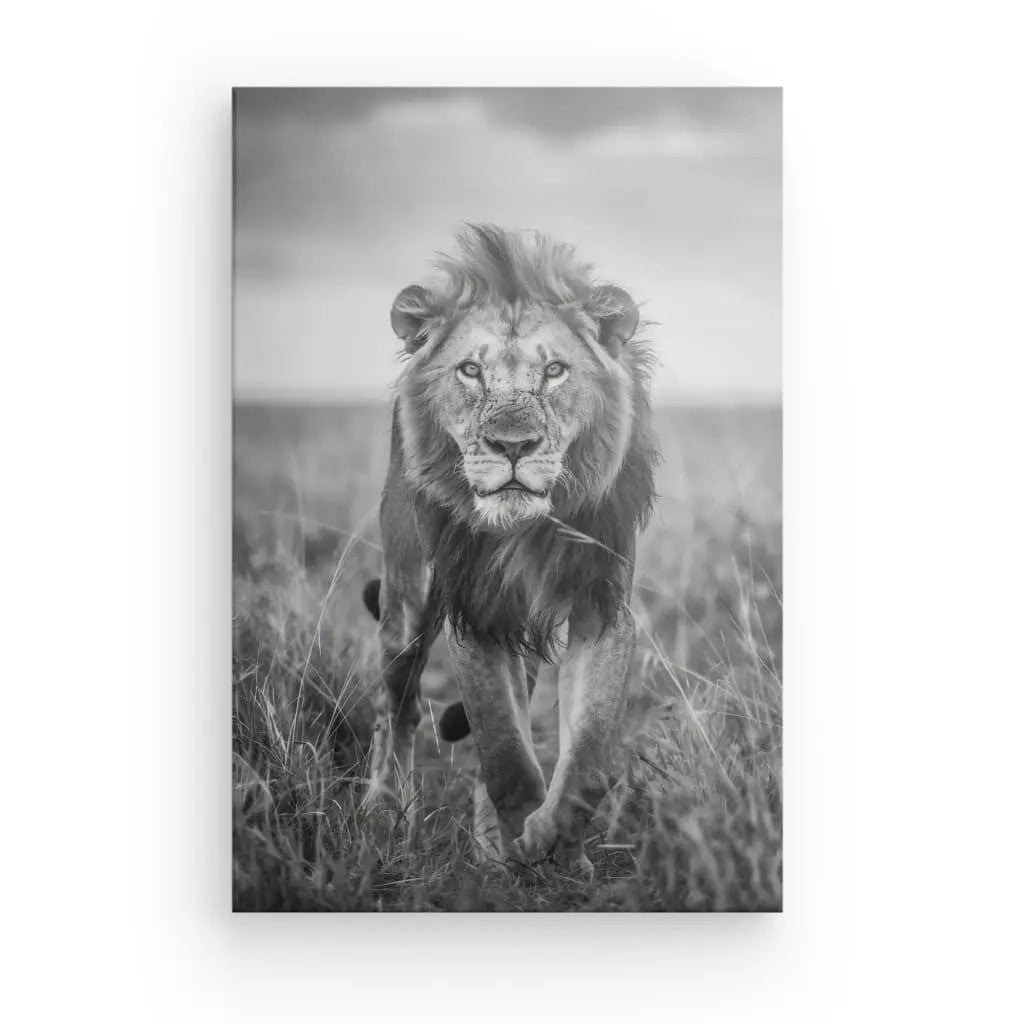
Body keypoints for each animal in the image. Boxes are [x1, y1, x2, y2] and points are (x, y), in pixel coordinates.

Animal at [362, 224, 658, 874]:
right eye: (471, 371)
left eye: (555, 371)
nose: (513, 445)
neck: (528, 528)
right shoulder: (475, 612)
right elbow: (503, 750)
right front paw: (526, 838)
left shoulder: (602, 605)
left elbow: (588, 755)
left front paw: (554, 847)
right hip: (405, 603)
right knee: (398, 710)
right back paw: (383, 812)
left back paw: (488, 847)